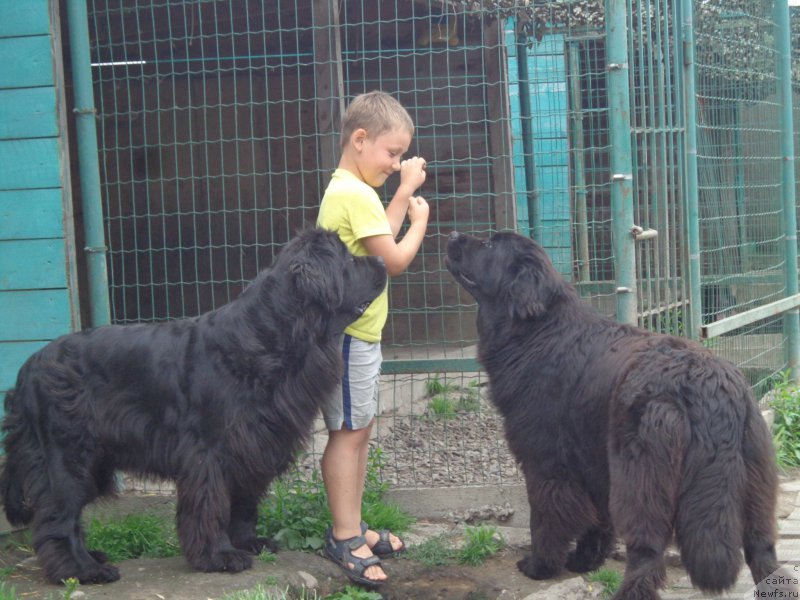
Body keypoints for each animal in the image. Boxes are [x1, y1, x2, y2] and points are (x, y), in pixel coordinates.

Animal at [0, 227, 388, 584]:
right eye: (349, 259)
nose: (384, 261)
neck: (269, 337)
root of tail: (29, 367)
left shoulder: (253, 445)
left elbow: (243, 502)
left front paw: (248, 542)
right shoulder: (210, 452)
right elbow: (210, 505)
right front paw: (220, 556)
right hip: (68, 454)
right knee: (59, 516)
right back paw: (83, 570)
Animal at [446, 231, 784, 600]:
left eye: (490, 245)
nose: (452, 235)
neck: (536, 331)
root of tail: (709, 385)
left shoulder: (545, 463)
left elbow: (545, 518)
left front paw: (539, 566)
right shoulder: (593, 463)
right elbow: (596, 519)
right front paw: (585, 561)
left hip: (641, 474)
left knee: (647, 550)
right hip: (754, 475)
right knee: (762, 549)